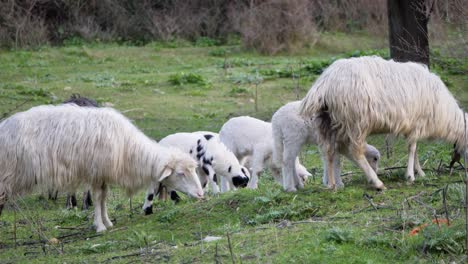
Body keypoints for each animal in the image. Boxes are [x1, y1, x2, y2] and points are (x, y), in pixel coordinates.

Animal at [0, 104, 205, 232]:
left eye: (193, 171)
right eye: (181, 173)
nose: (201, 194)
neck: (128, 148)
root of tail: (4, 125)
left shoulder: (103, 174)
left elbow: (104, 198)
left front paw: (108, 222)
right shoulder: (96, 172)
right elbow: (98, 199)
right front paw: (100, 226)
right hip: (7, 173)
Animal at [300, 56, 468, 191]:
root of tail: (325, 84)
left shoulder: (412, 126)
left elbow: (415, 150)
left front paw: (419, 172)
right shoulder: (417, 123)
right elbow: (412, 149)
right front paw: (411, 176)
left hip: (326, 121)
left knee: (328, 150)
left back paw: (332, 185)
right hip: (356, 121)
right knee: (355, 151)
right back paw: (377, 183)